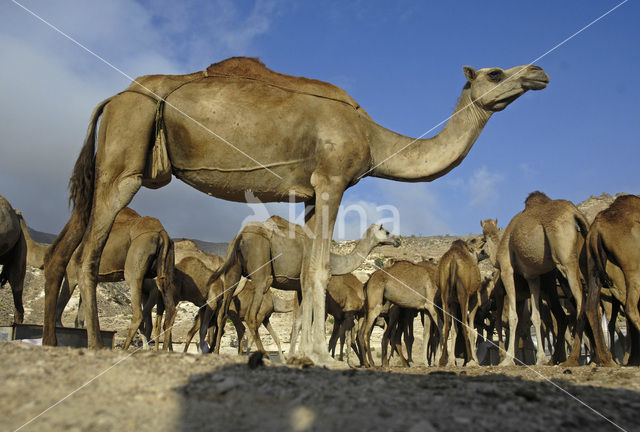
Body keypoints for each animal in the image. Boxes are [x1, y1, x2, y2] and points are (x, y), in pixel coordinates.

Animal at [54, 207, 175, 352]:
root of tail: (162, 234)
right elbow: (80, 318)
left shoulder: (71, 275)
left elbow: (59, 309)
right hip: (166, 267)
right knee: (170, 311)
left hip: (134, 268)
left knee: (138, 314)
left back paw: (125, 349)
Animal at [438, 238, 482, 366]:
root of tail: (453, 261)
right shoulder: (474, 299)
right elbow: (472, 329)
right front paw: (475, 361)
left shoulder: (453, 302)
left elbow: (454, 329)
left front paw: (452, 361)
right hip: (464, 295)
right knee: (464, 324)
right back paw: (470, 359)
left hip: (445, 294)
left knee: (446, 325)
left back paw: (442, 360)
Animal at [496, 192, 596, 364]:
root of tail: (575, 214)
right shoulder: (532, 276)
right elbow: (535, 316)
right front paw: (541, 359)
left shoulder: (506, 269)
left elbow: (513, 317)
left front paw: (507, 360)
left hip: (566, 262)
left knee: (580, 302)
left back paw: (573, 358)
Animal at [564, 194, 640, 366]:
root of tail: (597, 227)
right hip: (632, 266)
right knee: (630, 307)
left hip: (593, 266)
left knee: (590, 307)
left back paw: (607, 359)